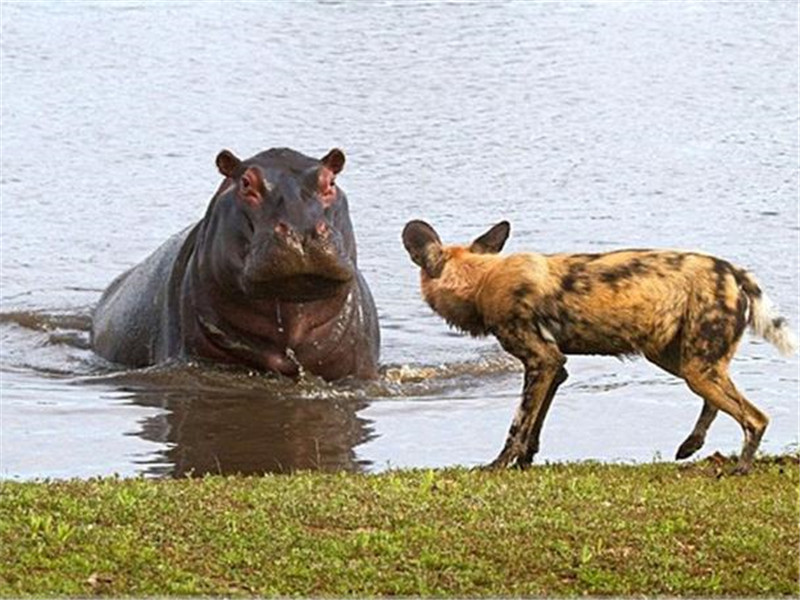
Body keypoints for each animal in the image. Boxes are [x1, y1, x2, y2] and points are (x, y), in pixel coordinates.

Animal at [404, 220, 796, 474]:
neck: (483, 278)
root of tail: (731, 271)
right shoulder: (555, 368)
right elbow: (535, 424)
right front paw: (525, 461)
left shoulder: (541, 361)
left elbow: (518, 424)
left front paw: (498, 465)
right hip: (681, 360)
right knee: (717, 402)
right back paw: (691, 445)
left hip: (696, 368)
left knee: (755, 419)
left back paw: (741, 468)